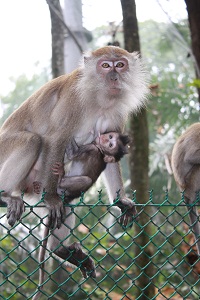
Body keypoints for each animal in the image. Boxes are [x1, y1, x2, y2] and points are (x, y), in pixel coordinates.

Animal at [0, 45, 148, 280]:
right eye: (105, 65)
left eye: (120, 64)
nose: (114, 77)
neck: (99, 100)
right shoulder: (73, 99)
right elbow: (56, 139)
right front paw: (52, 199)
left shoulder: (116, 114)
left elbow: (110, 157)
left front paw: (121, 200)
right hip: (5, 152)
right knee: (32, 141)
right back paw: (6, 196)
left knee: (68, 200)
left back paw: (62, 250)